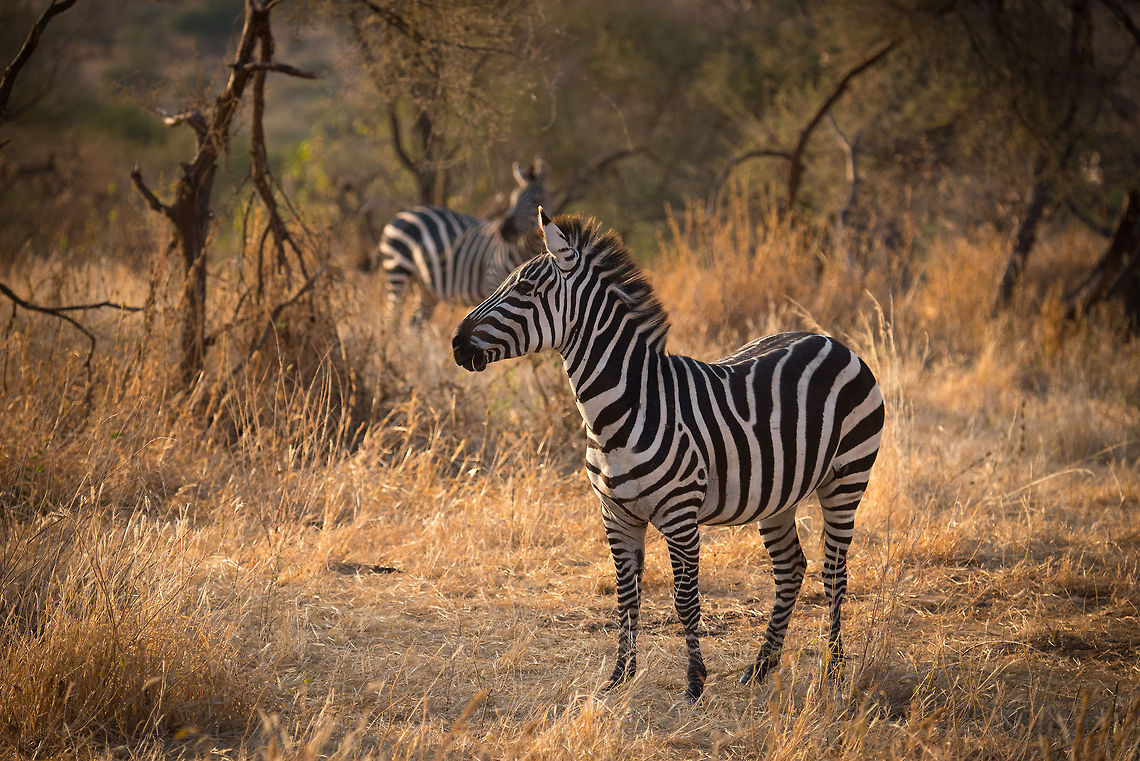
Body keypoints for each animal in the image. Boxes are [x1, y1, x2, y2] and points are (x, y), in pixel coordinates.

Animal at [376, 159, 550, 322]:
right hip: (397, 271)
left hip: (425, 287)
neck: (527, 248)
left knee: (415, 321)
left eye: (535, 200)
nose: (504, 230)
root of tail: (402, 214)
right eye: (514, 199)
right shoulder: (494, 282)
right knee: (392, 318)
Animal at [452, 211, 884, 702]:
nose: (456, 342)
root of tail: (831, 340)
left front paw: (695, 681)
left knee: (834, 572)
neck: (624, 407)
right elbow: (626, 595)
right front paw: (620, 676)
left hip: (846, 479)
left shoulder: (680, 516)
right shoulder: (616, 515)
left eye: (525, 288)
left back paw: (835, 670)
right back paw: (761, 665)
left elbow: (685, 599)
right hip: (780, 494)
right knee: (792, 568)